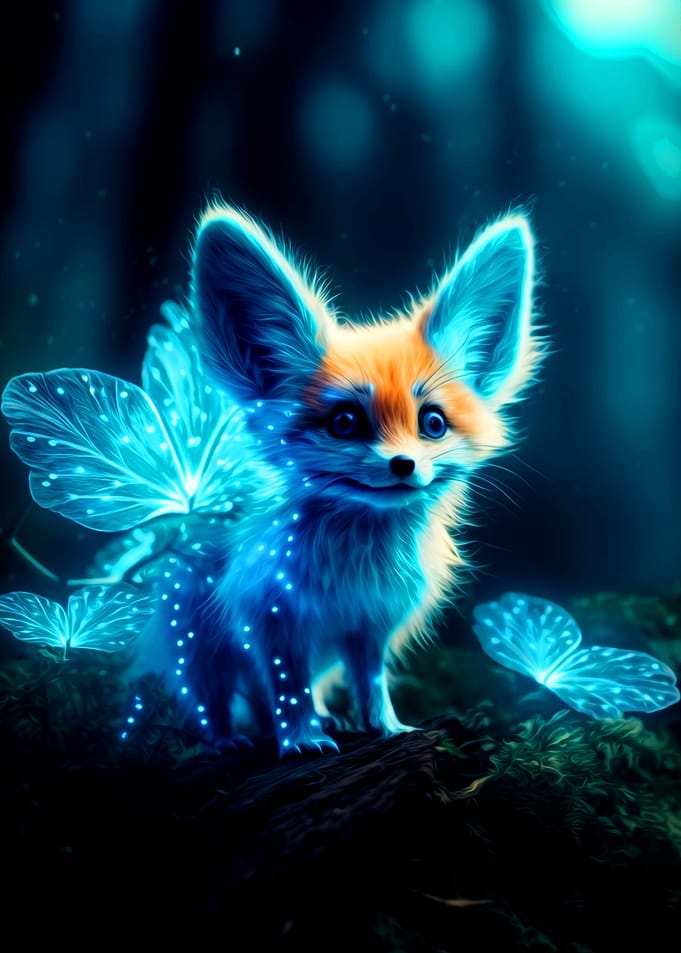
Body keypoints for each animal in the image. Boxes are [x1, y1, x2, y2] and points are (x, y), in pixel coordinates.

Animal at [186, 204, 543, 752]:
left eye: (432, 423)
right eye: (345, 422)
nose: (403, 464)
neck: (357, 566)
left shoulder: (369, 624)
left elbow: (370, 681)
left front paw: (387, 728)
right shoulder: (272, 619)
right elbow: (285, 687)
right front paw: (299, 740)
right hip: (200, 644)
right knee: (216, 695)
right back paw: (226, 739)